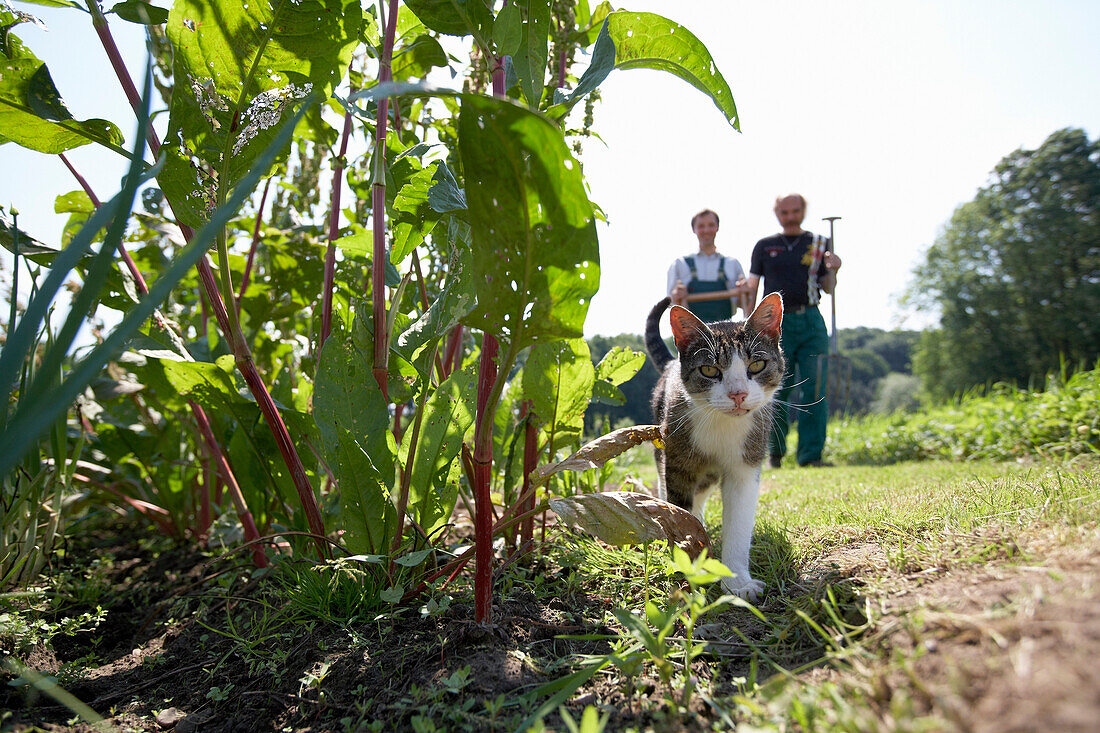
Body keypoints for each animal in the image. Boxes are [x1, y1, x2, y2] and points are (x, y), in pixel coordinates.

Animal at [642, 292, 787, 598]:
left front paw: (738, 582)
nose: (738, 394)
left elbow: (739, 522)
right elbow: (680, 510)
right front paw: (689, 566)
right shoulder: (678, 461)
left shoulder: (746, 462)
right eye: (709, 370)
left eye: (757, 366)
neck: (723, 425)